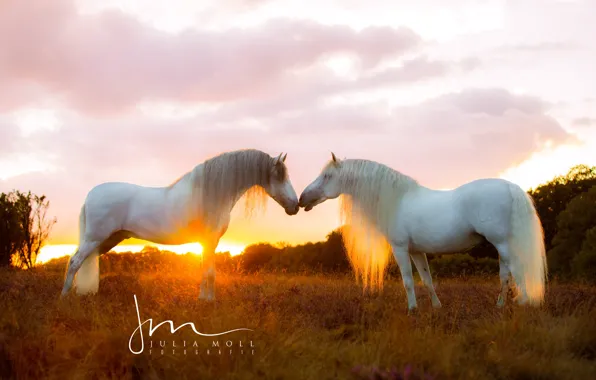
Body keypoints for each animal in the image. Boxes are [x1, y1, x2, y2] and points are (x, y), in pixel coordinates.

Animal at [61, 148, 298, 300]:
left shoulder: (208, 243)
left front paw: (204, 299)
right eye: (280, 176)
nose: (295, 206)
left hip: (108, 240)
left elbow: (206, 269)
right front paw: (208, 302)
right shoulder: (209, 240)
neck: (212, 192)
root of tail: (90, 195)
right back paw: (65, 298)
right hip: (95, 239)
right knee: (74, 262)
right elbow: (209, 272)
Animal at [300, 154, 548, 312]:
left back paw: (525, 303)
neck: (397, 200)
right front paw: (437, 307)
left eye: (327, 176)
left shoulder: (400, 249)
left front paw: (413, 310)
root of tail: (511, 187)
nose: (303, 199)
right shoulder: (416, 252)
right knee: (505, 276)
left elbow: (408, 281)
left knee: (517, 271)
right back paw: (500, 306)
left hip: (503, 243)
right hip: (501, 245)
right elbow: (427, 280)